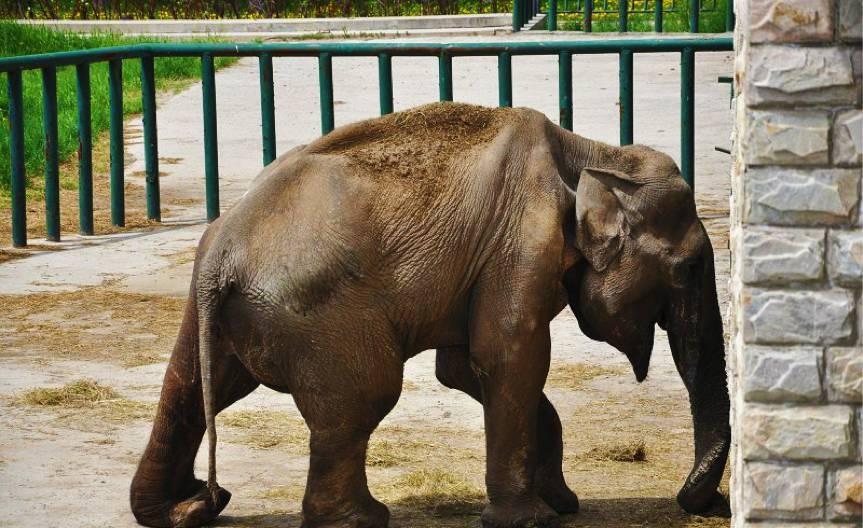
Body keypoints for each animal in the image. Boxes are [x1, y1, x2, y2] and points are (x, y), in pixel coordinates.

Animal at [130, 102, 730, 528]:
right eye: (692, 266)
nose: (707, 504)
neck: (590, 153)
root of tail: (221, 250)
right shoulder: (520, 243)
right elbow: (510, 357)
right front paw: (531, 519)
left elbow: (466, 367)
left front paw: (562, 503)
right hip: (320, 317)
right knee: (365, 397)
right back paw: (360, 519)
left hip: (222, 312)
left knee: (187, 387)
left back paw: (184, 508)